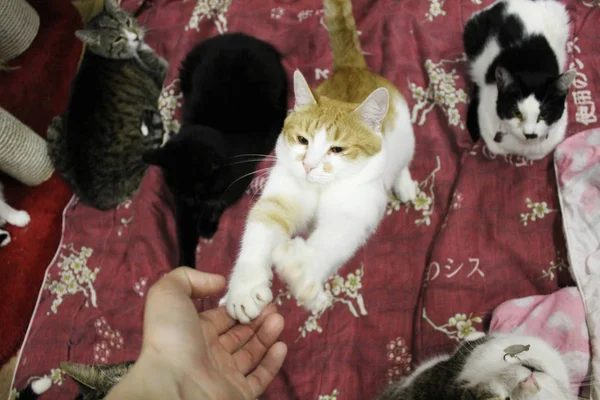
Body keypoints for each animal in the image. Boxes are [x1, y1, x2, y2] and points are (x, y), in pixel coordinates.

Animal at [47, 0, 166, 212]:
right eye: (118, 39)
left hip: (55, 127)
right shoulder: (159, 68)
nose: (135, 36)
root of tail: (99, 201)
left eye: (127, 22)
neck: (99, 54)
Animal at [143, 31, 288, 268]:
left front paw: (206, 226)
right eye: (175, 188)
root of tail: (251, 40)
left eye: (198, 187)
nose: (191, 201)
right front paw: (185, 265)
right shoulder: (182, 207)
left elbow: (219, 199)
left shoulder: (240, 176)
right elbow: (184, 233)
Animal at [220, 0, 418, 322]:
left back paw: (405, 183)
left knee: (402, 161)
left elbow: (330, 240)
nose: (309, 166)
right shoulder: (280, 196)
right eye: (303, 140)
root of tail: (351, 67)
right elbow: (259, 230)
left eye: (337, 149)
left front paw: (300, 270)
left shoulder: (353, 211)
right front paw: (244, 289)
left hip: (404, 137)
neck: (320, 189)